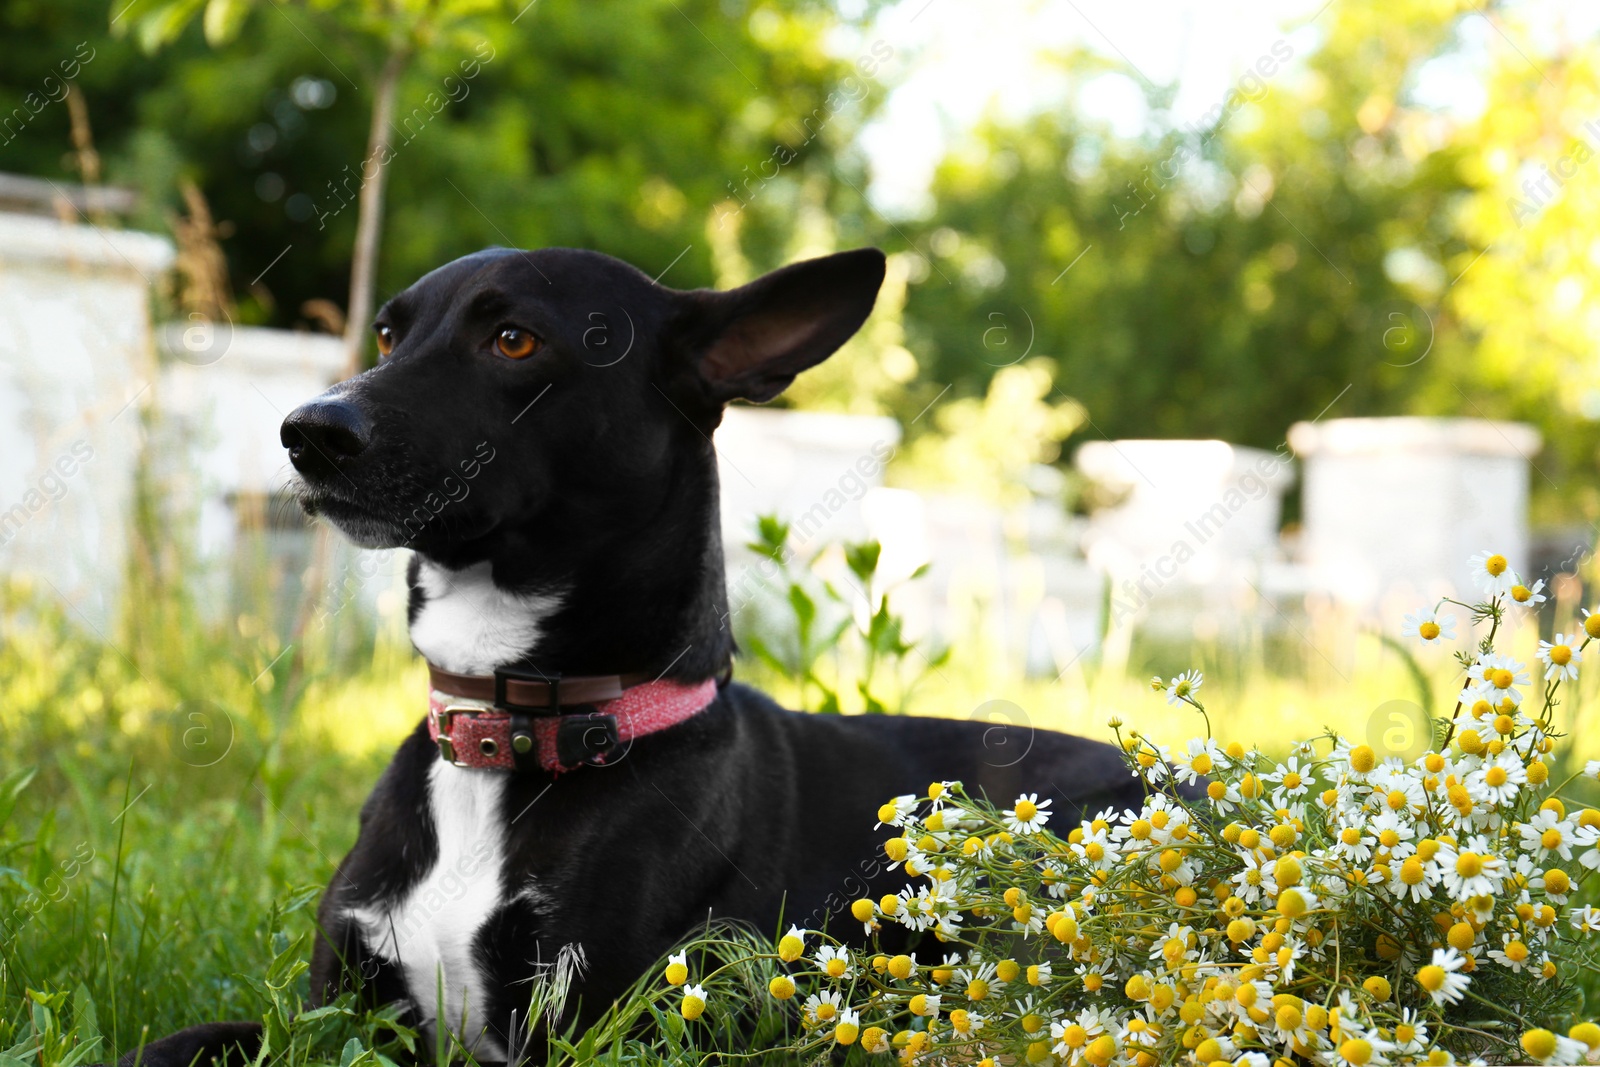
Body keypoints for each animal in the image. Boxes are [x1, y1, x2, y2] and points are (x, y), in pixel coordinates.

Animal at [124, 246, 1152, 1062]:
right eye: (386, 334)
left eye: (514, 341)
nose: (309, 431)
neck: (514, 724)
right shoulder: (333, 1015)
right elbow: (182, 1039)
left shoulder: (580, 1030)